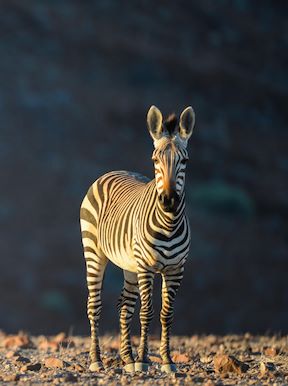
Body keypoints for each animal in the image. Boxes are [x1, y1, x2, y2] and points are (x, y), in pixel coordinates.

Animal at [80, 104, 195, 372]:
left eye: (184, 160)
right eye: (155, 160)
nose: (168, 200)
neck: (169, 224)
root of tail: (114, 170)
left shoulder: (176, 269)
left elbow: (166, 314)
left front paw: (166, 361)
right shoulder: (146, 266)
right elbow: (147, 313)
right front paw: (144, 360)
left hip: (129, 264)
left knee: (124, 307)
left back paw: (127, 359)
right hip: (94, 253)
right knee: (94, 305)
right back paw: (97, 360)